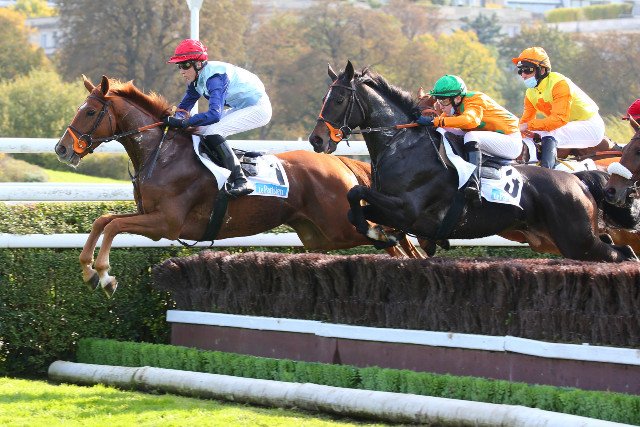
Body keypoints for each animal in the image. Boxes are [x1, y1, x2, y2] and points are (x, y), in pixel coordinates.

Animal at [54, 75, 425, 297]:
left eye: (89, 113)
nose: (62, 149)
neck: (162, 153)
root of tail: (340, 163)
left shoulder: (165, 224)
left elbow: (113, 225)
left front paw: (104, 275)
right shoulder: (149, 215)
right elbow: (103, 221)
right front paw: (89, 271)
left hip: (338, 224)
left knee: (389, 235)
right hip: (321, 235)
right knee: (392, 242)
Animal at [308, 61, 638, 262]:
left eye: (338, 100)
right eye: (324, 98)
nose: (317, 140)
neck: (403, 146)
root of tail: (577, 179)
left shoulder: (406, 208)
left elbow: (356, 192)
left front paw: (381, 233)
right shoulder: (394, 210)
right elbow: (356, 209)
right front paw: (380, 234)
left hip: (576, 238)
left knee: (622, 253)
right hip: (564, 239)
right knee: (617, 248)